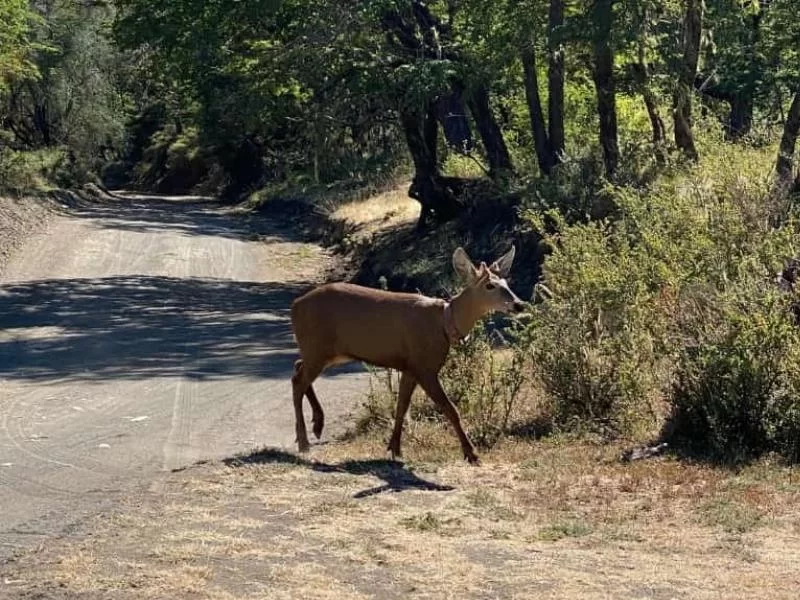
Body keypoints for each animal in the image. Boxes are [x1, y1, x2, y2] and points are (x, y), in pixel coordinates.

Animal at [290, 246, 524, 462]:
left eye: (507, 283)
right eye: (489, 285)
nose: (519, 304)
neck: (444, 323)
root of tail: (295, 306)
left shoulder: (410, 367)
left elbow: (402, 406)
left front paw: (394, 448)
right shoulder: (424, 366)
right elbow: (451, 409)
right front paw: (471, 454)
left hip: (328, 351)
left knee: (298, 367)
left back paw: (317, 425)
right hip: (318, 346)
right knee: (298, 381)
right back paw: (304, 442)